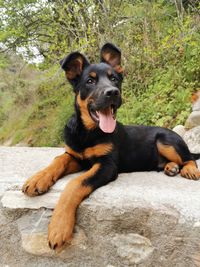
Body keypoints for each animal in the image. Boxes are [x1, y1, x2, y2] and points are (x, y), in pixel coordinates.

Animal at [21, 43, 200, 251]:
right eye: (90, 81)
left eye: (114, 79)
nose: (113, 92)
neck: (87, 133)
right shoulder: (77, 157)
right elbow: (60, 159)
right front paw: (38, 179)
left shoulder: (107, 165)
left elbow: (75, 184)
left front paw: (59, 226)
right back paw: (171, 167)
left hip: (165, 140)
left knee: (189, 158)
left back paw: (188, 170)